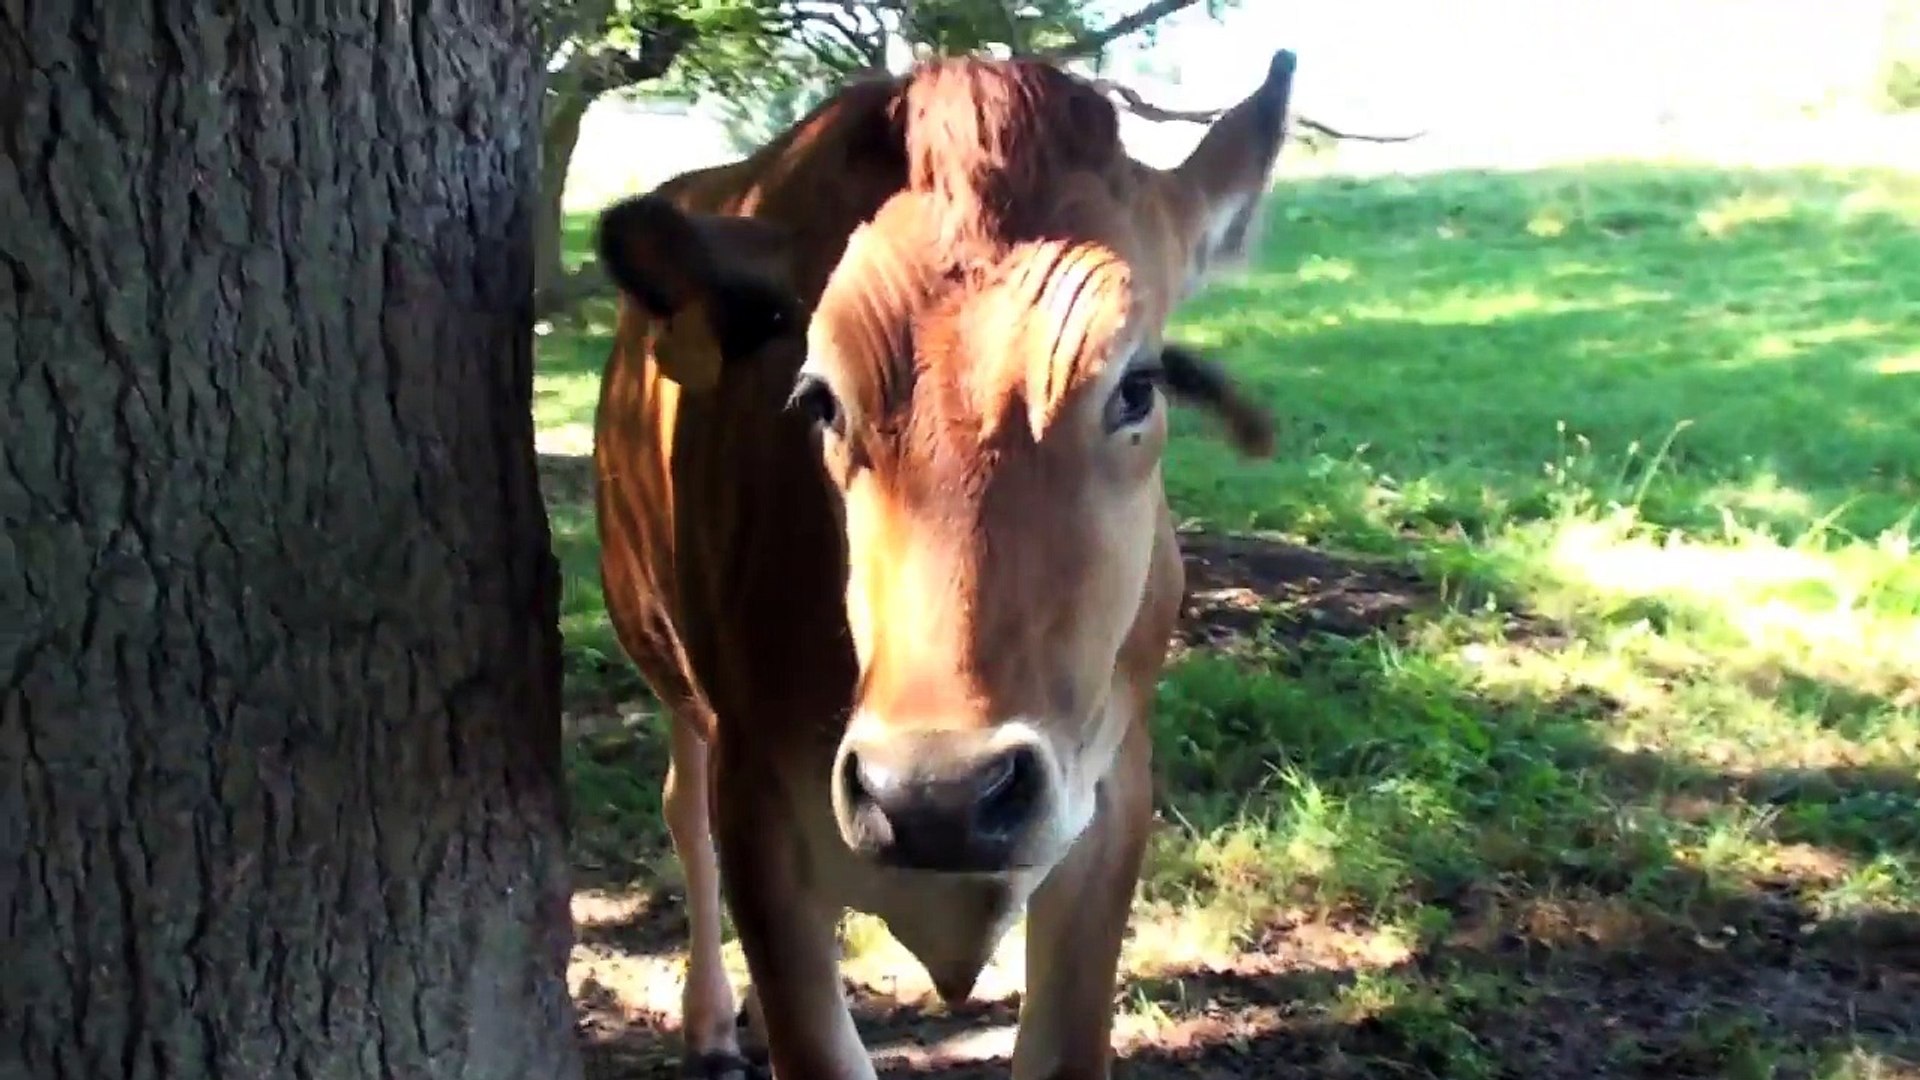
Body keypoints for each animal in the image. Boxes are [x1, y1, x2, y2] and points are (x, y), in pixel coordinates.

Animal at [590, 48, 1299, 1080]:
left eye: (1137, 386)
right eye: (818, 397)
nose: (939, 795)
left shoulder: (1112, 805)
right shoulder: (760, 814)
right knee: (684, 813)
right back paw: (712, 1022)